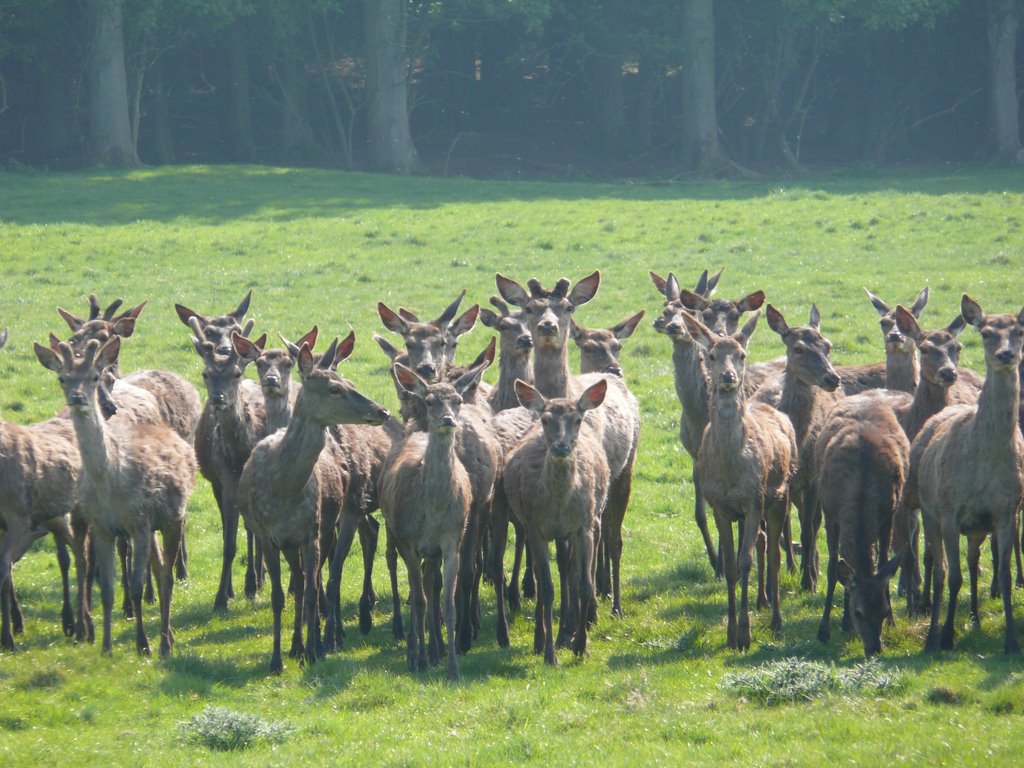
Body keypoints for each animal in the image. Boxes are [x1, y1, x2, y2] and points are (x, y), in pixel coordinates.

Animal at [34, 339, 195, 659]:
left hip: (174, 517)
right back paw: (168, 637)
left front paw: (143, 644)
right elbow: (107, 589)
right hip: (154, 527)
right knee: (160, 567)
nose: (78, 398)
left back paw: (164, 643)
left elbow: (135, 587)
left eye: (95, 377)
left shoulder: (139, 523)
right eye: (62, 378)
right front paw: (106, 646)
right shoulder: (102, 527)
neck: (110, 482)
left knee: (168, 575)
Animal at [237, 335, 389, 671]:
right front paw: (277, 660)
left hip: (329, 524)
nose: (383, 411)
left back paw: (318, 639)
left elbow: (310, 590)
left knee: (317, 577)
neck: (282, 492)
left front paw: (314, 649)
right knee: (301, 578)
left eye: (347, 382)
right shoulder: (267, 534)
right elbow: (280, 595)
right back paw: (296, 644)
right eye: (334, 389)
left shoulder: (312, 530)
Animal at [380, 364, 491, 684]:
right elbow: (418, 601)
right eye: (429, 401)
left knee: (431, 584)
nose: (447, 420)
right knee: (417, 588)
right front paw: (417, 660)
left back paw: (435, 649)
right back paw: (418, 651)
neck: (433, 510)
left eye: (457, 400)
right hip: (398, 535)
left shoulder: (451, 540)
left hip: (433, 551)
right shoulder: (408, 540)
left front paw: (453, 668)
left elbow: (448, 603)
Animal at [684, 311, 794, 651]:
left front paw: (745, 633)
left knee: (774, 554)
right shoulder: (720, 505)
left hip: (781, 495)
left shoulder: (753, 499)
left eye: (741, 354)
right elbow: (732, 567)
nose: (728, 376)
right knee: (763, 543)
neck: (730, 470)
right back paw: (763, 603)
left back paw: (777, 620)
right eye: (711, 355)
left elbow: (746, 562)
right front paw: (731, 633)